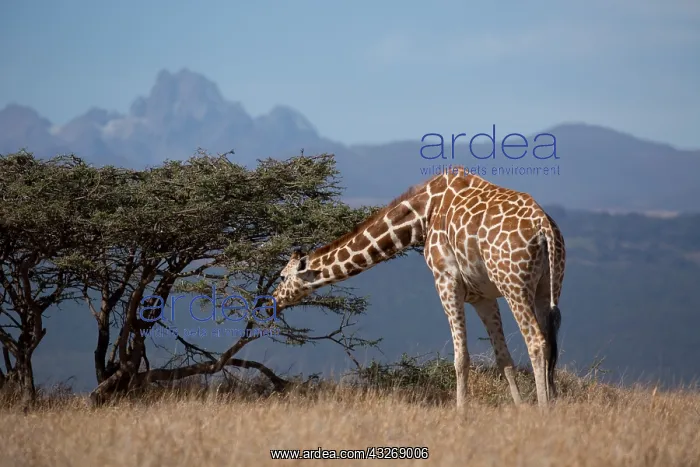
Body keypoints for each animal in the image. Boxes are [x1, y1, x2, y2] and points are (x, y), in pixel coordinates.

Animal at [272, 167, 566, 409]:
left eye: (283, 276)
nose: (273, 299)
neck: (422, 213)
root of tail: (544, 228)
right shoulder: (482, 295)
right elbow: (502, 357)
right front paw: (520, 410)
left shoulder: (446, 279)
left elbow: (461, 358)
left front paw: (461, 414)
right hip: (546, 287)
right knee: (550, 342)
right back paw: (551, 405)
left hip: (514, 285)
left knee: (536, 341)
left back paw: (543, 410)